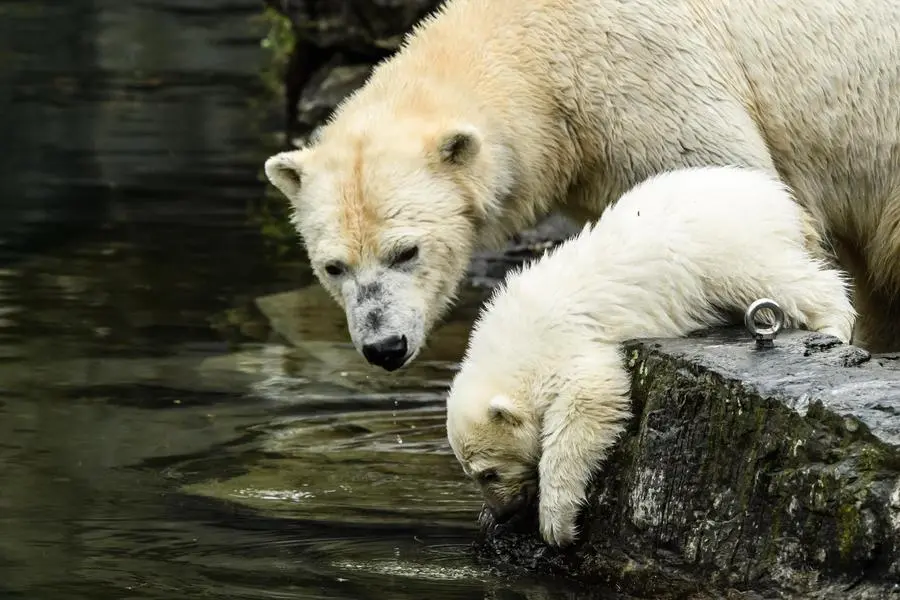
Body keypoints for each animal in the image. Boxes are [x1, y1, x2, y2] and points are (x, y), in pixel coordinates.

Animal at [445, 166, 856, 547]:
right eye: (470, 474)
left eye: (489, 472)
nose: (501, 512)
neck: (515, 337)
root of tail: (781, 199)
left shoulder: (568, 344)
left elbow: (588, 404)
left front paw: (556, 523)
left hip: (725, 247)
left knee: (775, 278)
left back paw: (832, 326)